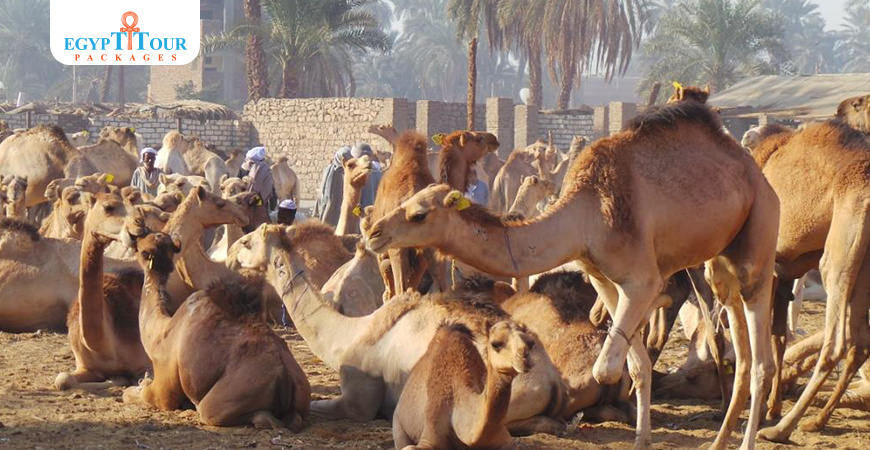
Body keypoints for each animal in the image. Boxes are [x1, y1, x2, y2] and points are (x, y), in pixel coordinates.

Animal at [55, 193, 152, 391]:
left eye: (134, 205)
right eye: (108, 207)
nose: (139, 225)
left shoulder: (145, 363)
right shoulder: (85, 365)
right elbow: (62, 380)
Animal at [121, 232, 310, 430]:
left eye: (140, 246)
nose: (132, 236)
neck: (160, 331)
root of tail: (285, 376)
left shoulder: (164, 387)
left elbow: (139, 393)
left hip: (221, 402)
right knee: (295, 418)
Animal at [392, 321, 532, 450]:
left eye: (530, 343)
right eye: (496, 344)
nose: (525, 357)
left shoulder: (502, 435)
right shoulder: (431, 425)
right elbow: (411, 447)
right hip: (397, 423)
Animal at [753, 96, 870, 441]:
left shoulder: (766, 267)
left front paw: (764, 410)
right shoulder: (783, 270)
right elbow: (778, 336)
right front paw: (771, 405)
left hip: (838, 254)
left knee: (835, 344)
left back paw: (781, 430)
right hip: (864, 267)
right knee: (860, 343)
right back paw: (815, 421)